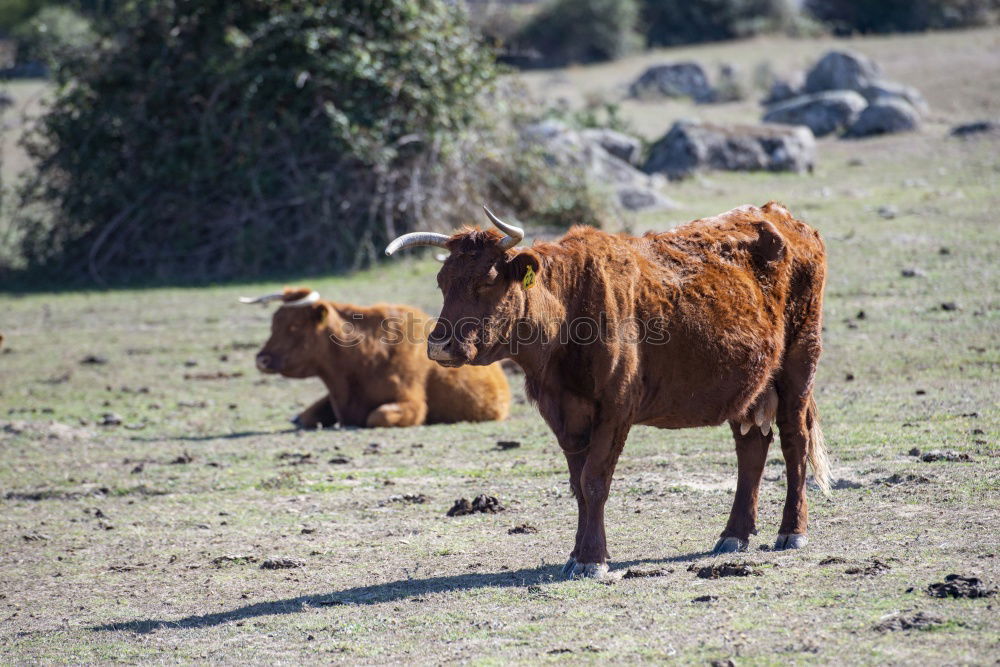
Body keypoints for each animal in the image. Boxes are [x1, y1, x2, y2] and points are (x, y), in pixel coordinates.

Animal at [240, 288, 508, 428]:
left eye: (294, 326)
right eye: (274, 323)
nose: (261, 359)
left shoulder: (411, 404)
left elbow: (376, 416)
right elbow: (305, 417)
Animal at [386, 201, 832, 576]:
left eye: (487, 281)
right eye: (443, 282)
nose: (439, 344)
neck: (569, 308)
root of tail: (782, 217)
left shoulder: (616, 410)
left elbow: (595, 481)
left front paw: (592, 559)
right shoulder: (563, 414)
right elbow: (579, 487)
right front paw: (577, 555)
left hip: (799, 365)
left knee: (794, 442)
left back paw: (792, 531)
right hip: (749, 384)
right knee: (751, 447)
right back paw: (734, 534)